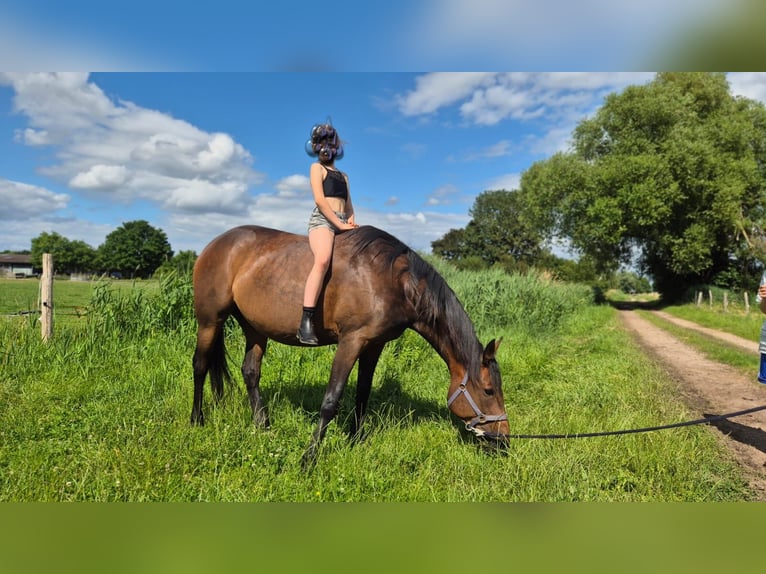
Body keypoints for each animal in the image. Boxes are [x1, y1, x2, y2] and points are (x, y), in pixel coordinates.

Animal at [192, 224, 512, 468]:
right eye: (488, 390)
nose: (505, 440)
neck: (394, 281)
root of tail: (216, 244)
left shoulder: (373, 345)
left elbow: (362, 394)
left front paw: (355, 439)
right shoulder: (351, 341)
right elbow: (331, 401)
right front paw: (309, 458)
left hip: (255, 328)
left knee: (250, 372)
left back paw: (263, 425)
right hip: (210, 321)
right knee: (200, 365)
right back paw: (197, 419)